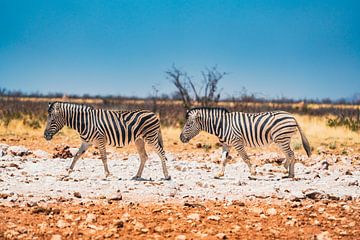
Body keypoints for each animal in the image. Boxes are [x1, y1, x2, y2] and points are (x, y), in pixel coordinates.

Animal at [180, 107, 312, 178]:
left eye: (188, 124)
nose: (181, 138)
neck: (222, 125)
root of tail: (292, 116)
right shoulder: (226, 144)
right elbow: (223, 159)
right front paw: (220, 174)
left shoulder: (237, 142)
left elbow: (245, 158)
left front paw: (253, 172)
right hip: (282, 139)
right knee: (291, 154)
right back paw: (290, 174)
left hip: (281, 138)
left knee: (290, 154)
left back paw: (286, 170)